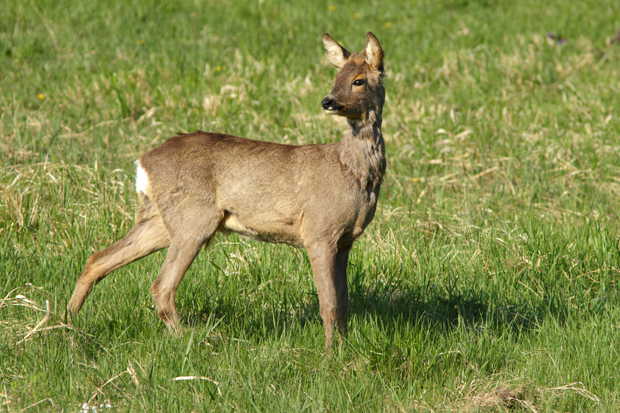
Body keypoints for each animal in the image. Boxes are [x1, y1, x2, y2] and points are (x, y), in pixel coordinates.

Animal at [69, 30, 388, 350]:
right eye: (336, 77)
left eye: (358, 80)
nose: (328, 101)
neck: (352, 171)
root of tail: (142, 163)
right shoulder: (319, 230)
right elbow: (329, 304)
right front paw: (329, 353)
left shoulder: (345, 240)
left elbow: (344, 304)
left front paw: (344, 347)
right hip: (194, 218)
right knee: (161, 286)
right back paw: (191, 341)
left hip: (163, 219)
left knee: (98, 259)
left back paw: (69, 321)